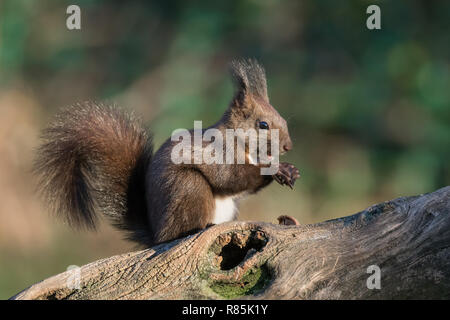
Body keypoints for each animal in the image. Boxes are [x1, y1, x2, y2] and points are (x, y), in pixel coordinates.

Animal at [32, 59, 298, 245]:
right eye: (263, 125)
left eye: (284, 119)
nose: (288, 147)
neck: (243, 145)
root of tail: (156, 234)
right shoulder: (218, 153)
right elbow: (230, 177)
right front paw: (277, 169)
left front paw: (288, 170)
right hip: (189, 187)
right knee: (178, 230)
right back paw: (197, 228)